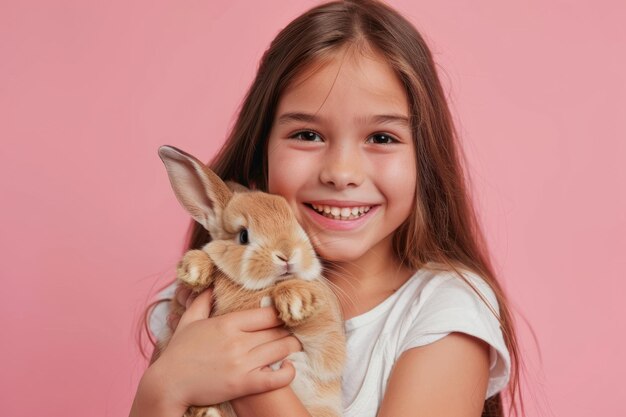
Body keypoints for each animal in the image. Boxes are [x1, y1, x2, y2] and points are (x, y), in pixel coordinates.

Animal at [154, 145, 344, 416]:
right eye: (243, 236)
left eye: (298, 226)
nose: (287, 254)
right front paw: (194, 269)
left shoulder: (325, 344)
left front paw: (297, 301)